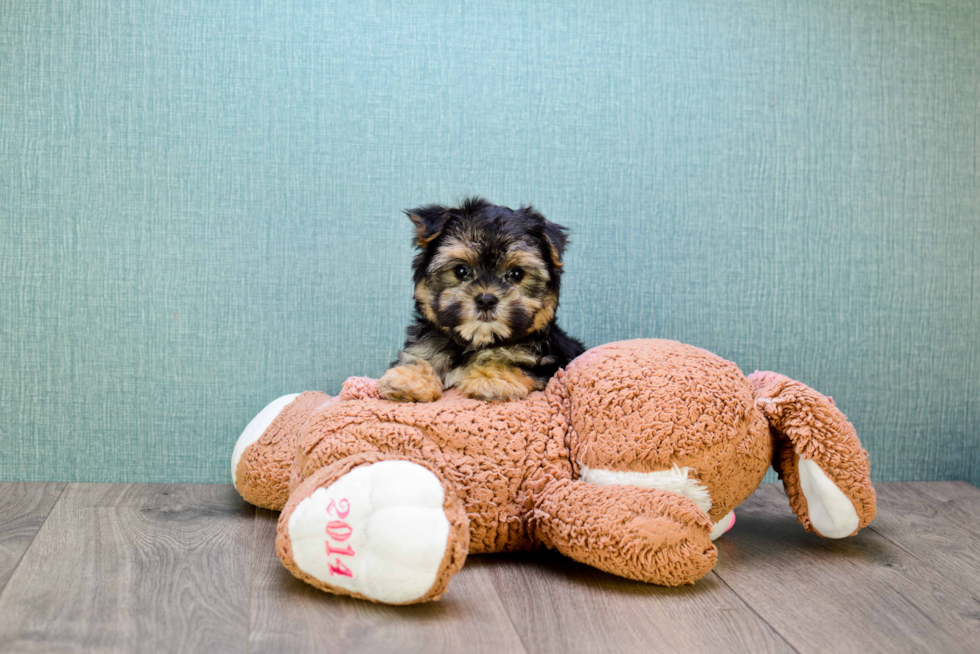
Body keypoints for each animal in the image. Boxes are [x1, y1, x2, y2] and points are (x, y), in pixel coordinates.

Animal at [380, 199, 580, 404]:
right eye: (461, 270)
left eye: (516, 273)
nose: (486, 300)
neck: (476, 342)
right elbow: (420, 357)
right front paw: (410, 379)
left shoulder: (547, 362)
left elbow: (514, 363)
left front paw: (491, 380)